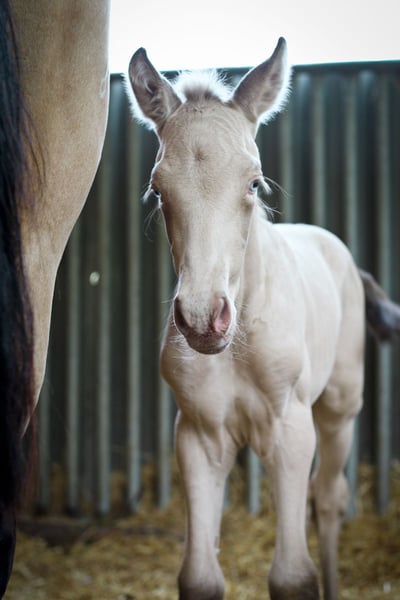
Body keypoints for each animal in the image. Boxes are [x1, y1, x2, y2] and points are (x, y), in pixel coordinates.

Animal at [127, 39, 400, 600]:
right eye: (158, 190)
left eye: (255, 183)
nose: (202, 318)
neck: (239, 341)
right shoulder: (199, 436)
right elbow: (199, 577)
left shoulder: (289, 429)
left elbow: (294, 575)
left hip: (339, 408)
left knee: (330, 498)